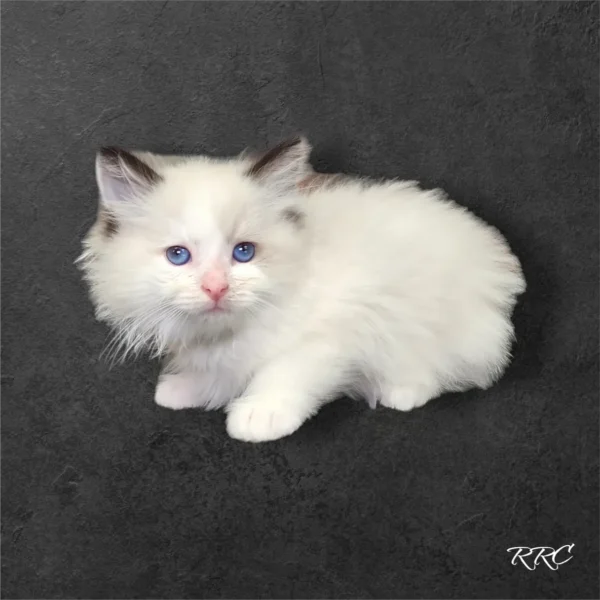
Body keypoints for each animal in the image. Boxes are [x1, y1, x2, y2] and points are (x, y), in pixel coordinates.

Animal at [79, 138, 524, 442]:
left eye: (244, 252)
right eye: (178, 256)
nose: (216, 288)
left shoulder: (334, 333)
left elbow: (286, 371)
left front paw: (258, 416)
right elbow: (218, 369)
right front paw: (184, 389)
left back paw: (402, 393)